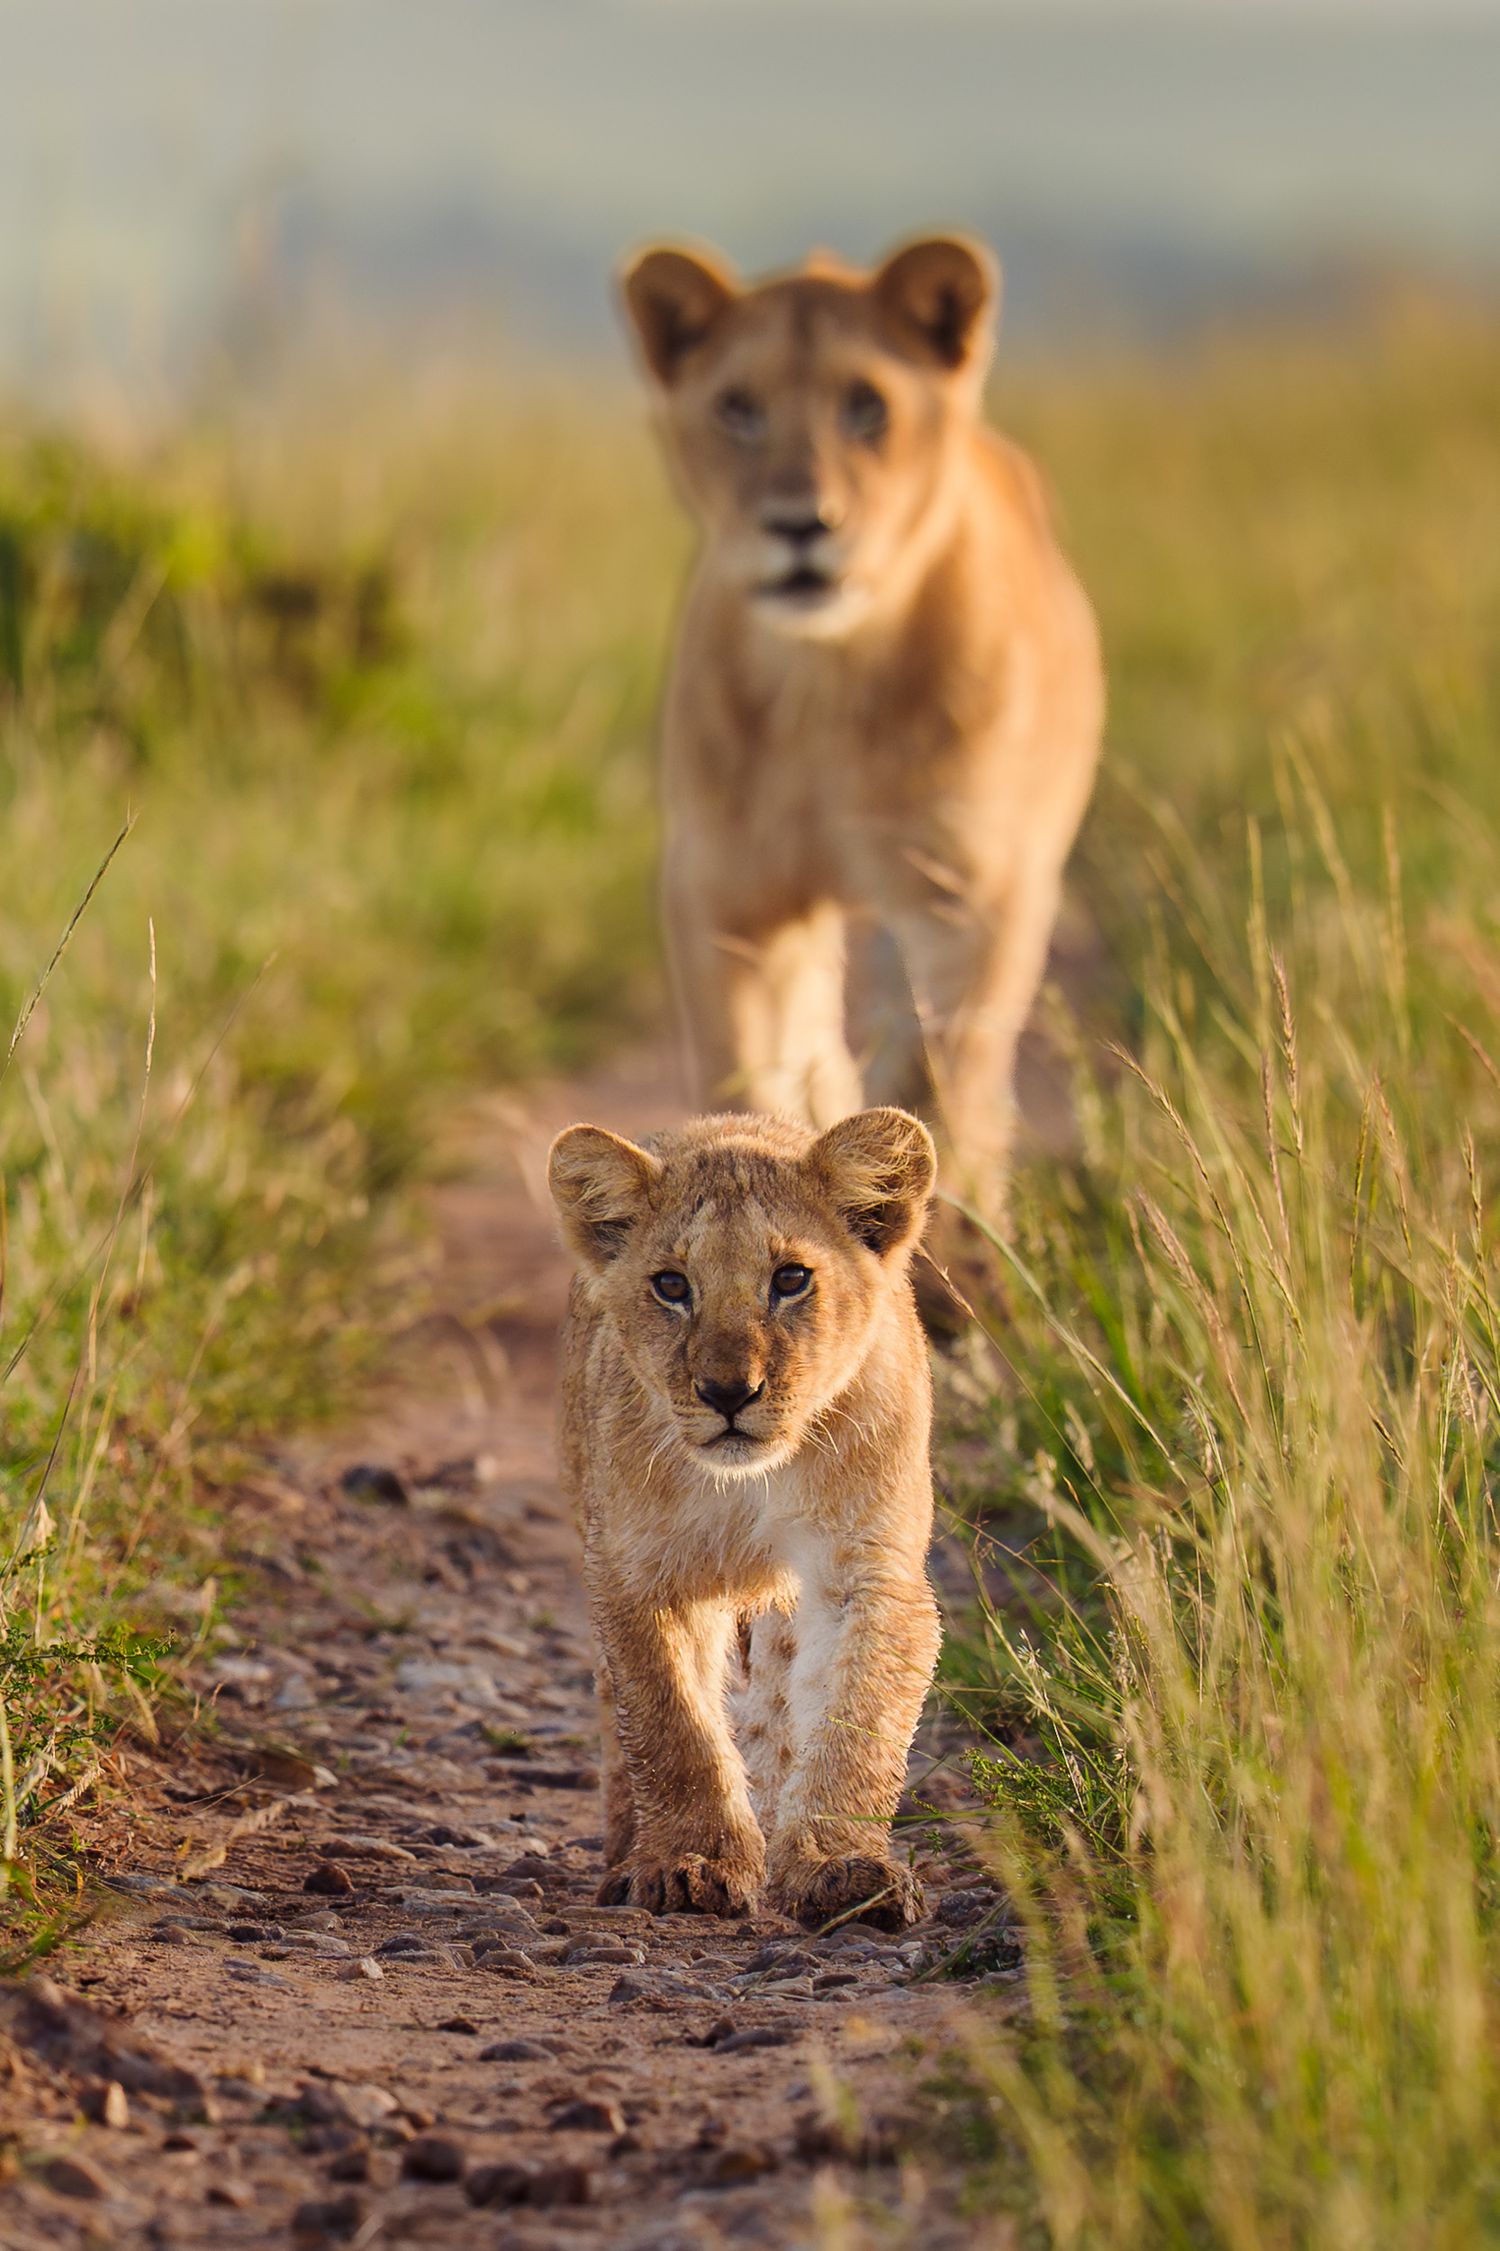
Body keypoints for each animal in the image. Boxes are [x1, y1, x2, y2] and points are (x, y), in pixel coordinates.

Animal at [548, 1104, 940, 1929]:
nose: (730, 1391)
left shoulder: (868, 1569)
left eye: (790, 1278)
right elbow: (672, 1727)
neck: (750, 1485)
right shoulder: (636, 1572)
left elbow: (857, 1720)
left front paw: (840, 1868)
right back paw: (625, 1860)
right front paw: (693, 1864)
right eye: (671, 1284)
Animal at [620, 231, 1103, 1267]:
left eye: (867, 405)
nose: (803, 523)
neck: (826, 688)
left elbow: (943, 1067)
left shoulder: (972, 889)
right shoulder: (725, 890)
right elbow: (742, 1069)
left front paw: (944, 1236)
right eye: (738, 407)